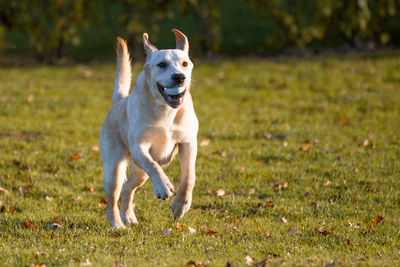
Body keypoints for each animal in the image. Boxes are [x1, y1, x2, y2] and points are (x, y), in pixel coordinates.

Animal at [100, 29, 198, 230]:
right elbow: (153, 164)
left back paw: (128, 216)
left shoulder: (188, 143)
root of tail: (119, 101)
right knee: (112, 199)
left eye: (185, 63)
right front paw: (162, 186)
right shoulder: (140, 146)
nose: (179, 77)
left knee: (128, 187)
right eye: (161, 64)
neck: (166, 110)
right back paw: (117, 224)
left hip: (140, 174)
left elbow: (189, 176)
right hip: (114, 170)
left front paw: (180, 205)